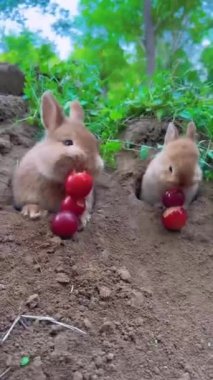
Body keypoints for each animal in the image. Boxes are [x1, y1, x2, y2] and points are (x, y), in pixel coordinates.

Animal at [12, 90, 104, 227]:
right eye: (68, 142)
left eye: (96, 145)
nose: (91, 166)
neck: (56, 181)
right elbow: (29, 202)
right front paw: (33, 212)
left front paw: (83, 219)